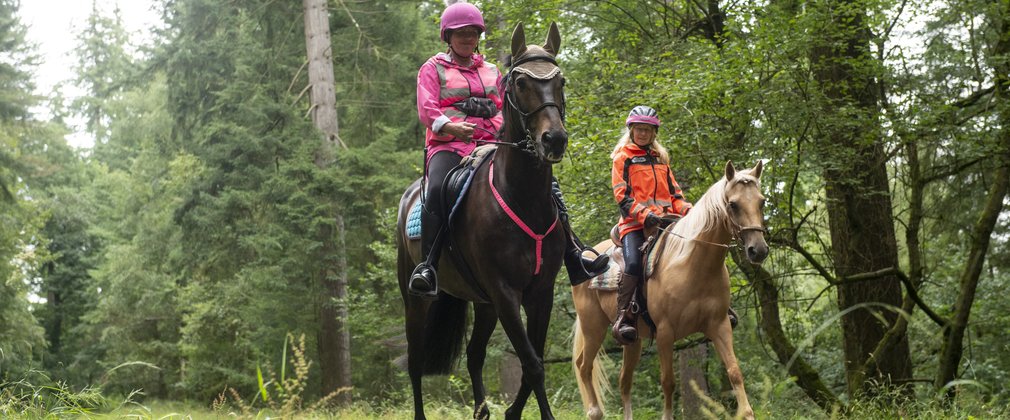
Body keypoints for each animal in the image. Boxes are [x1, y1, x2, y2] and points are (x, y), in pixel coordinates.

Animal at [393, 22, 569, 420]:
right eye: (521, 82)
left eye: (560, 81)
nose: (554, 139)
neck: (523, 200)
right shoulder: (505, 293)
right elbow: (533, 364)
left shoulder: (540, 292)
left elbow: (532, 363)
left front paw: (511, 414)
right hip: (417, 300)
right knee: (415, 363)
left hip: (483, 302)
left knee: (474, 355)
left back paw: (482, 412)